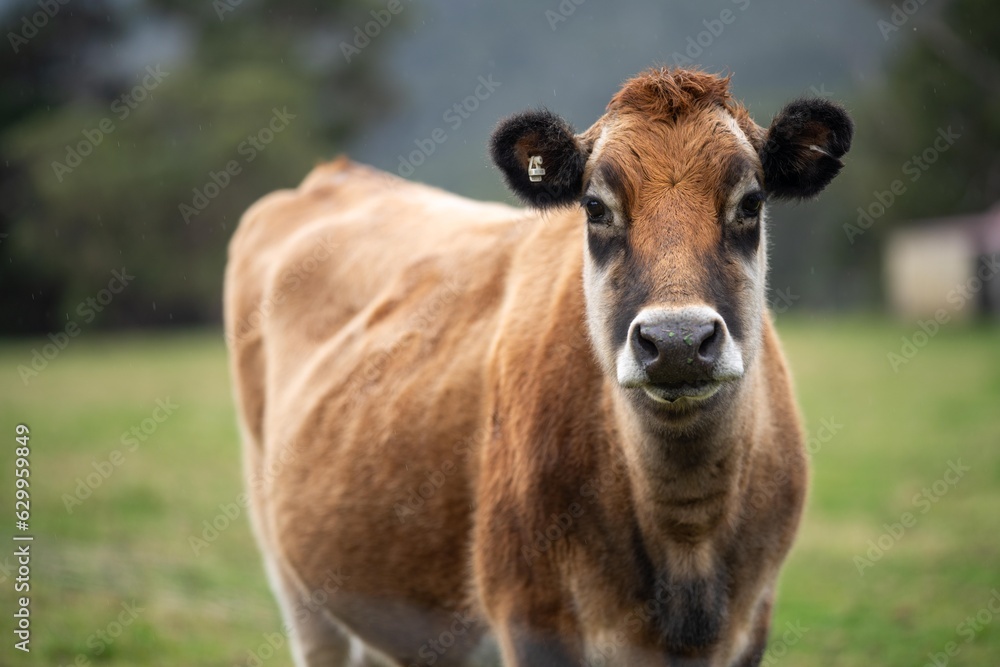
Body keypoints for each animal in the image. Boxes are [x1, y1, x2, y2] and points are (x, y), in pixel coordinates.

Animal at [225, 65, 852, 664]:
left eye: (751, 202)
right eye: (595, 207)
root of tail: (334, 174)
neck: (686, 538)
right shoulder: (532, 616)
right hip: (294, 579)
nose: (676, 340)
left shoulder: (751, 621)